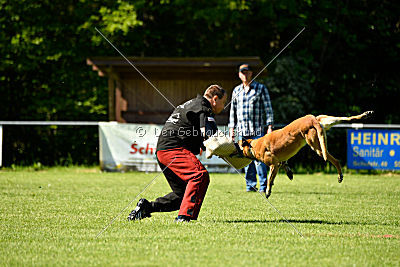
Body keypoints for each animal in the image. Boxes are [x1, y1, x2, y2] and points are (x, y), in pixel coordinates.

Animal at [239, 111, 374, 199]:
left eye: (241, 148)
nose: (237, 153)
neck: (254, 146)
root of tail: (311, 119)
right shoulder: (280, 161)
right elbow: (284, 164)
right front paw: (289, 173)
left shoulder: (273, 164)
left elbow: (269, 179)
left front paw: (267, 191)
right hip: (326, 122)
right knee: (347, 119)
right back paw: (365, 114)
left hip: (315, 144)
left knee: (333, 159)